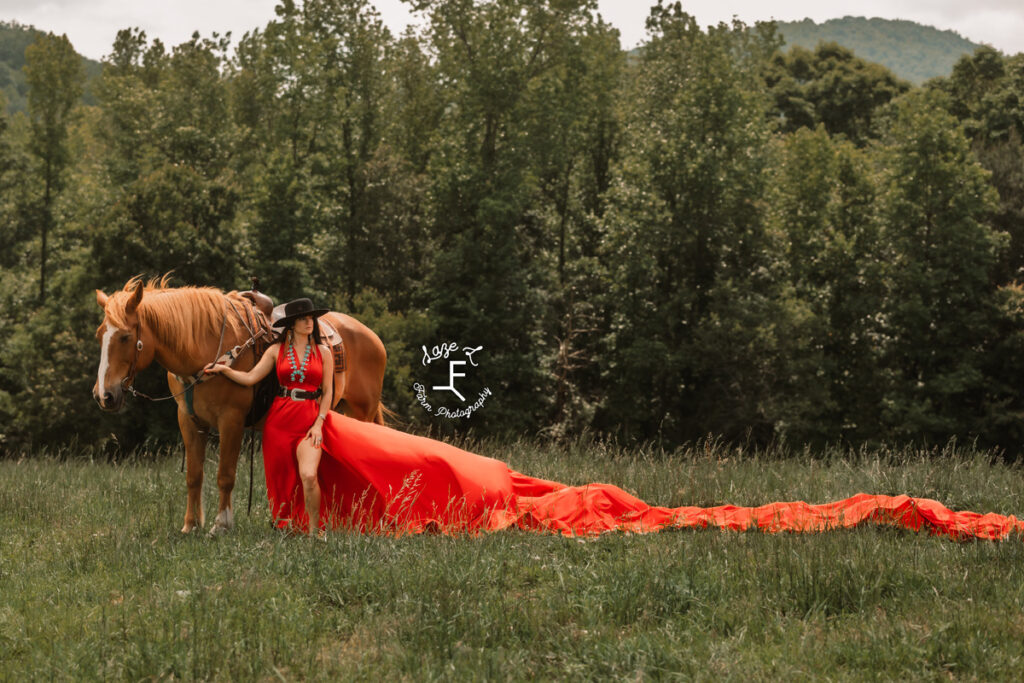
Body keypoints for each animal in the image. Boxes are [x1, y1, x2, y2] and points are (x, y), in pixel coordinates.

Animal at [93, 274, 387, 536]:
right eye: (99, 336)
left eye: (125, 337)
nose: (103, 395)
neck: (205, 349)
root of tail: (371, 336)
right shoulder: (188, 420)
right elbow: (194, 475)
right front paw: (190, 525)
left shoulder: (230, 420)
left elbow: (225, 475)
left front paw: (221, 525)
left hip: (361, 412)